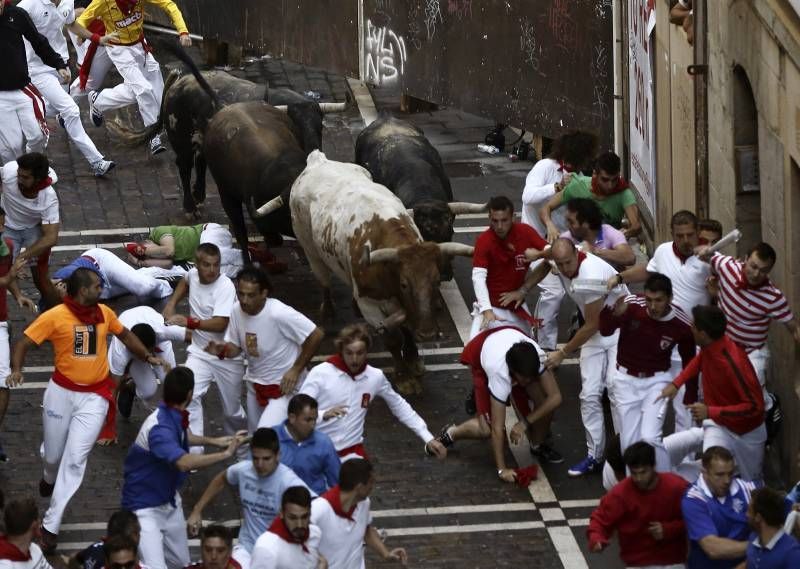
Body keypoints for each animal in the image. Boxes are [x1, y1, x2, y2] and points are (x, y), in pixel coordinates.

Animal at [288, 149, 476, 392]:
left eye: (436, 281)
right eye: (404, 283)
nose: (428, 333)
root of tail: (317, 160)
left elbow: (406, 329)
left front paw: (414, 360)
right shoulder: (372, 306)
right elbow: (393, 339)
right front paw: (404, 377)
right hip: (310, 249)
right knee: (324, 281)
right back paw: (328, 311)